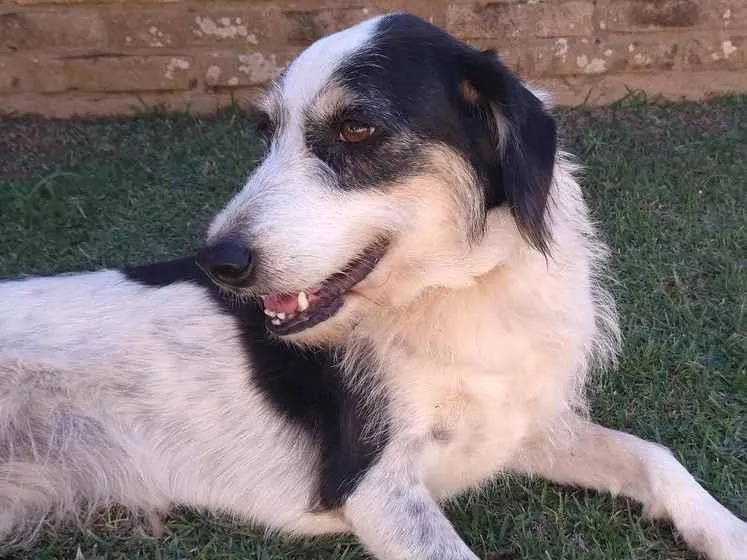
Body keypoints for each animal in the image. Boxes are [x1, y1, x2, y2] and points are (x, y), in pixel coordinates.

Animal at [0, 12, 745, 560]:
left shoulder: (515, 426)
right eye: (266, 133)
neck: (455, 293)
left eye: (357, 128)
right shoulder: (370, 484)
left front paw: (726, 533)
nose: (218, 261)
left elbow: (654, 454)